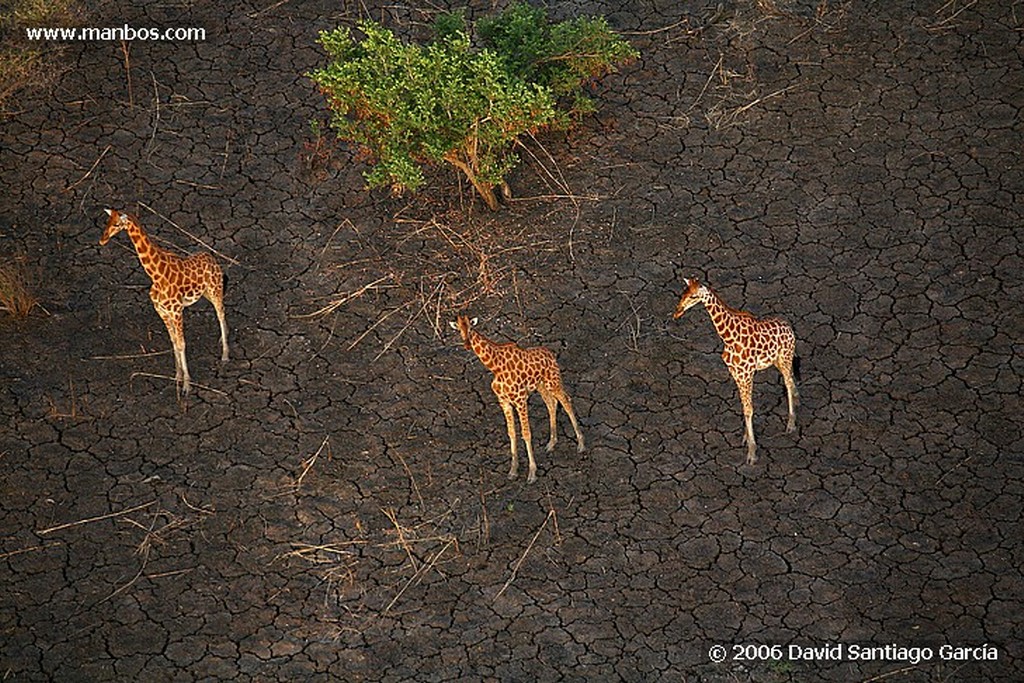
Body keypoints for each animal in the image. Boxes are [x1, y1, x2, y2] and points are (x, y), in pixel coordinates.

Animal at [99, 208, 228, 395]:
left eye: (116, 224)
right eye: (107, 222)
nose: (102, 240)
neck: (157, 276)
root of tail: (212, 258)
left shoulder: (176, 311)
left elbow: (181, 344)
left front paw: (186, 385)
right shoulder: (162, 311)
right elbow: (173, 342)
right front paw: (177, 376)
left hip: (215, 289)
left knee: (220, 313)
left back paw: (225, 355)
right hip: (206, 293)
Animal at [448, 317, 585, 483]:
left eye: (471, 329)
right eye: (459, 330)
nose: (467, 345)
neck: (495, 367)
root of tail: (551, 354)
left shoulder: (520, 400)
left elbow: (526, 433)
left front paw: (532, 473)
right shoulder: (504, 401)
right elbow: (511, 432)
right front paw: (513, 470)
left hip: (552, 381)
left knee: (566, 401)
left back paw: (581, 445)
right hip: (541, 385)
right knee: (552, 404)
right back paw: (551, 444)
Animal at [671, 278, 798, 464]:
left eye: (693, 296)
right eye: (683, 293)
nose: (677, 312)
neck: (729, 337)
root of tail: (789, 328)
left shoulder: (747, 373)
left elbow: (749, 409)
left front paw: (752, 453)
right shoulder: (736, 372)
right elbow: (744, 406)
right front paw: (746, 437)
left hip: (785, 357)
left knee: (788, 382)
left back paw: (791, 424)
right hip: (777, 361)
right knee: (791, 379)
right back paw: (797, 401)